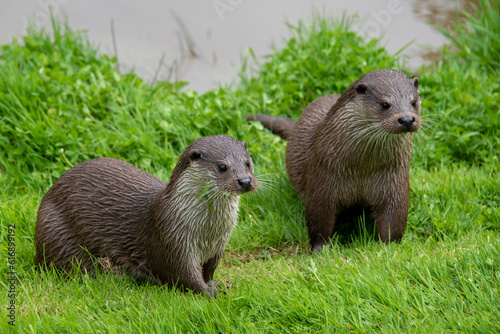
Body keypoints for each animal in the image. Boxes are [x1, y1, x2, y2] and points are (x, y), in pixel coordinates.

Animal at [34, 134, 258, 296]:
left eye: (248, 163)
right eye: (222, 167)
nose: (245, 181)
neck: (208, 232)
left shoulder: (218, 247)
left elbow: (209, 270)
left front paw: (217, 284)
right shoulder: (172, 241)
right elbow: (184, 275)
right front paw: (210, 292)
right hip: (56, 232)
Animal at [248, 68, 420, 250]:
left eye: (414, 102)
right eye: (385, 104)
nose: (407, 119)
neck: (362, 170)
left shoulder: (394, 184)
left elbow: (393, 218)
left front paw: (389, 247)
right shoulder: (323, 181)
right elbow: (320, 219)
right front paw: (320, 249)